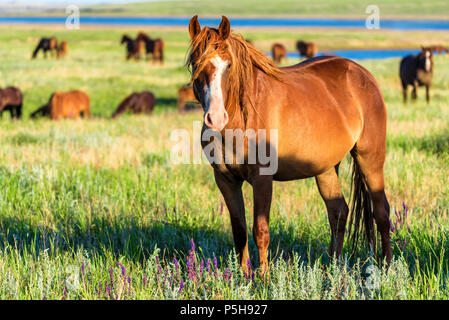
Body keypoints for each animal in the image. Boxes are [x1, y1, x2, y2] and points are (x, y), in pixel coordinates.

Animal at [187, 16, 390, 274]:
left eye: (229, 65)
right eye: (196, 65)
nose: (215, 118)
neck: (241, 119)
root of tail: (363, 74)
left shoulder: (262, 179)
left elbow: (260, 230)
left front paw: (262, 277)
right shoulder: (225, 179)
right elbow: (239, 231)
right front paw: (243, 275)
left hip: (370, 159)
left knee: (381, 212)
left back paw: (388, 266)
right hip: (325, 168)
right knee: (338, 212)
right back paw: (332, 268)